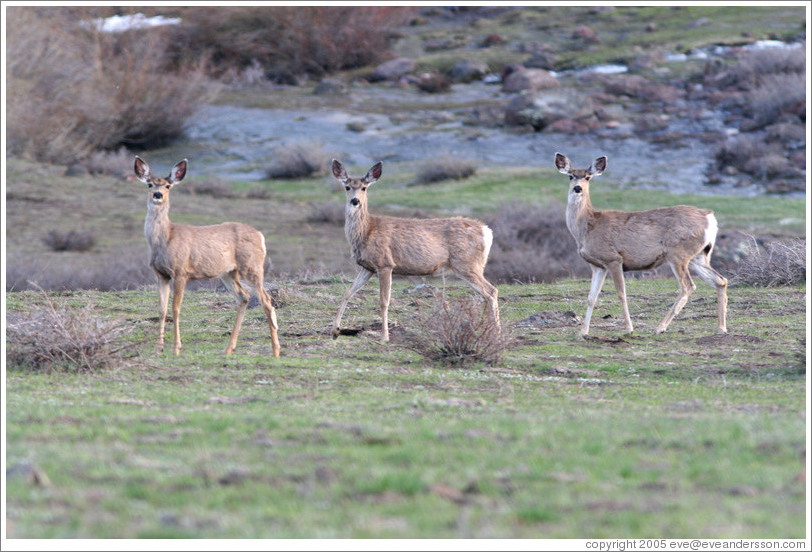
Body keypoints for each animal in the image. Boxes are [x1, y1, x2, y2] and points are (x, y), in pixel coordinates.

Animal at [135, 154, 280, 358]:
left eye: (168, 186)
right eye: (149, 184)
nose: (158, 195)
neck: (165, 238)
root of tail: (261, 236)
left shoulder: (181, 271)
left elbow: (175, 308)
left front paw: (176, 348)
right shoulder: (160, 274)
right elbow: (162, 310)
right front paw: (158, 349)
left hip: (252, 266)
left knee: (266, 301)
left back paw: (275, 351)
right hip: (229, 272)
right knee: (243, 297)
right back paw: (228, 349)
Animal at [328, 158, 494, 340]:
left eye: (364, 187)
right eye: (347, 187)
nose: (355, 201)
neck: (366, 231)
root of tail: (486, 231)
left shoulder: (385, 263)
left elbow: (384, 301)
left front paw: (384, 336)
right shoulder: (368, 267)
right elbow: (348, 292)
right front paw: (335, 330)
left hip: (466, 263)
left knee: (491, 291)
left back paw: (495, 332)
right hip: (473, 265)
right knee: (486, 293)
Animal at [556, 153, 728, 338]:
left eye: (588, 177)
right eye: (570, 176)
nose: (578, 188)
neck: (587, 228)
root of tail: (709, 217)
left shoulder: (613, 258)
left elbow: (621, 294)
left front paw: (629, 328)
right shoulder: (597, 265)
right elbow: (591, 297)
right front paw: (583, 332)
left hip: (678, 253)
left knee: (688, 287)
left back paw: (660, 327)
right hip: (699, 255)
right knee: (720, 280)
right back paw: (721, 328)